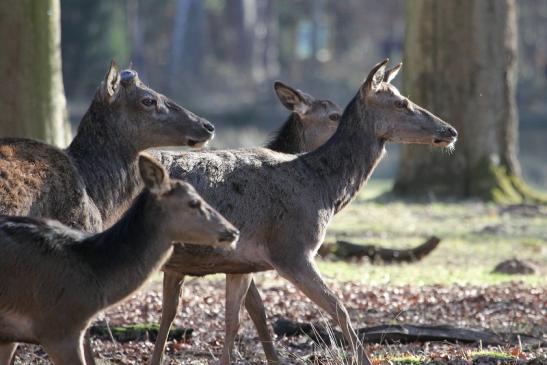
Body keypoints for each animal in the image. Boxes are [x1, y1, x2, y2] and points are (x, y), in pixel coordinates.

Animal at [150, 59, 458, 364]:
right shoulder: (291, 250)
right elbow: (339, 308)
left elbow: (233, 321)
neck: (322, 191)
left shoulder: (240, 263)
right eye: (401, 103)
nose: (450, 131)